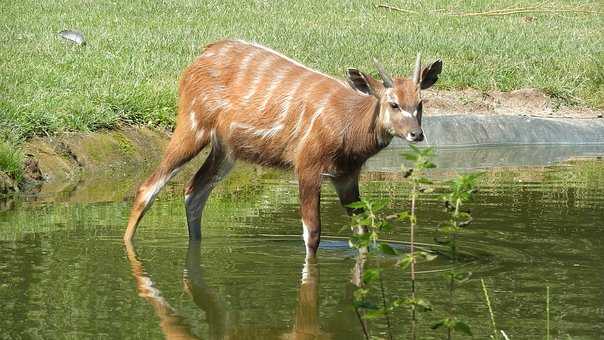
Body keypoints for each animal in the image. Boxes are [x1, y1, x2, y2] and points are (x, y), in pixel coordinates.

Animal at [125, 39, 442, 258]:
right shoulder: (307, 164)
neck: (348, 126)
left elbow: (362, 227)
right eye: (394, 104)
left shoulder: (346, 176)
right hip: (193, 125)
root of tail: (197, 59)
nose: (417, 133)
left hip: (226, 150)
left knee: (194, 191)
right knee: (149, 187)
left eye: (420, 103)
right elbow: (312, 233)